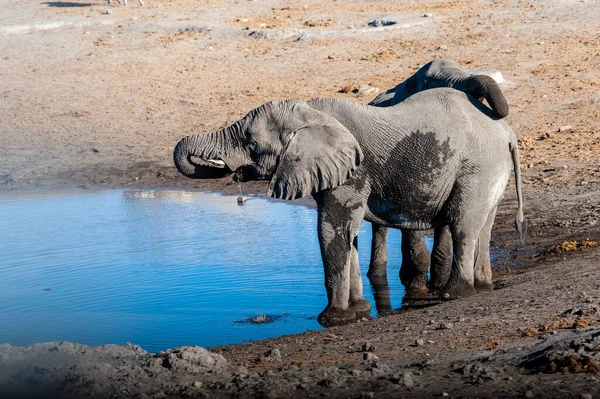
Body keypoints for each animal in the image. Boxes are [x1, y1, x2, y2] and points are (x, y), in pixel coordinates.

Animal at [171, 87, 524, 324]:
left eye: (251, 144)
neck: (311, 112)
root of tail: (506, 131)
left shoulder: (353, 172)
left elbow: (331, 230)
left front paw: (332, 319)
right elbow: (348, 235)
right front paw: (359, 311)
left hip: (476, 166)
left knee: (463, 223)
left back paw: (455, 293)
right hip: (489, 167)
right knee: (483, 224)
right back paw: (483, 286)